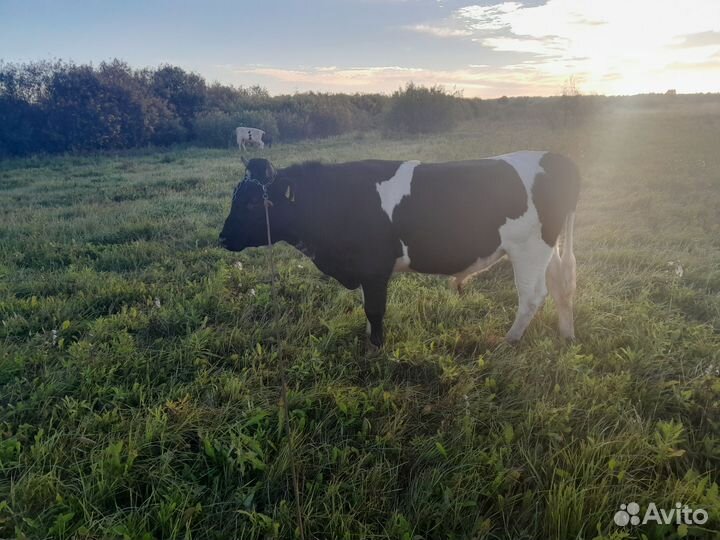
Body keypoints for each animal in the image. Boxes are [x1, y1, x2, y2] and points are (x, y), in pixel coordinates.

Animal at [218, 152, 580, 346]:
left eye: (253, 202)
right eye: (236, 196)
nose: (222, 238)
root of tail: (555, 158)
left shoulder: (374, 267)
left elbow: (374, 309)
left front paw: (376, 347)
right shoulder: (366, 272)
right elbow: (368, 306)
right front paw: (369, 338)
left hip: (528, 249)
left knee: (532, 296)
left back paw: (509, 340)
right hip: (546, 250)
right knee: (561, 285)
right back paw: (567, 335)